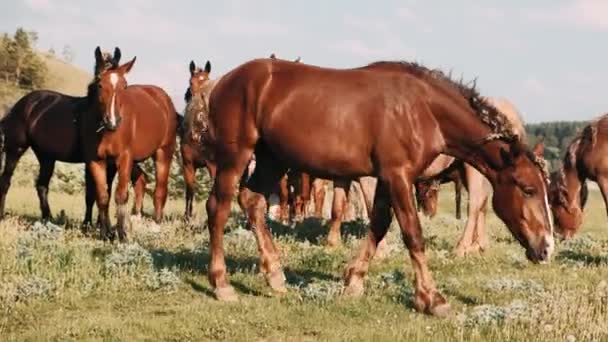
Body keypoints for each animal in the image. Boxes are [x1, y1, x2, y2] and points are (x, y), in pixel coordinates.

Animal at [0, 47, 147, 224]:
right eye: (99, 83)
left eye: (124, 85)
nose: (112, 121)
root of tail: (20, 104)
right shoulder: (91, 160)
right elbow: (91, 193)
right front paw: (88, 224)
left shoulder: (110, 162)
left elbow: (105, 191)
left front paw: (98, 223)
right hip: (15, 149)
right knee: (6, 181)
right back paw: (3, 215)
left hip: (46, 156)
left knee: (42, 185)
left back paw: (48, 218)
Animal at [83, 52, 178, 242]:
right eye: (100, 84)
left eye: (124, 86)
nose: (113, 121)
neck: (108, 132)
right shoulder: (96, 161)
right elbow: (102, 196)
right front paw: (105, 233)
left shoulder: (124, 158)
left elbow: (121, 195)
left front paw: (122, 234)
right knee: (141, 179)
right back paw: (136, 217)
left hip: (163, 153)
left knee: (160, 190)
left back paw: (156, 225)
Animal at [205, 59, 556, 318]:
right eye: (527, 189)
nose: (546, 248)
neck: (422, 110)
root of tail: (223, 81)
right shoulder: (398, 176)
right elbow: (413, 234)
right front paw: (432, 298)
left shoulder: (388, 178)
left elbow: (379, 225)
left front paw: (354, 281)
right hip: (236, 157)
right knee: (218, 208)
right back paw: (222, 284)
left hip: (272, 158)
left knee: (252, 202)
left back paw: (275, 277)